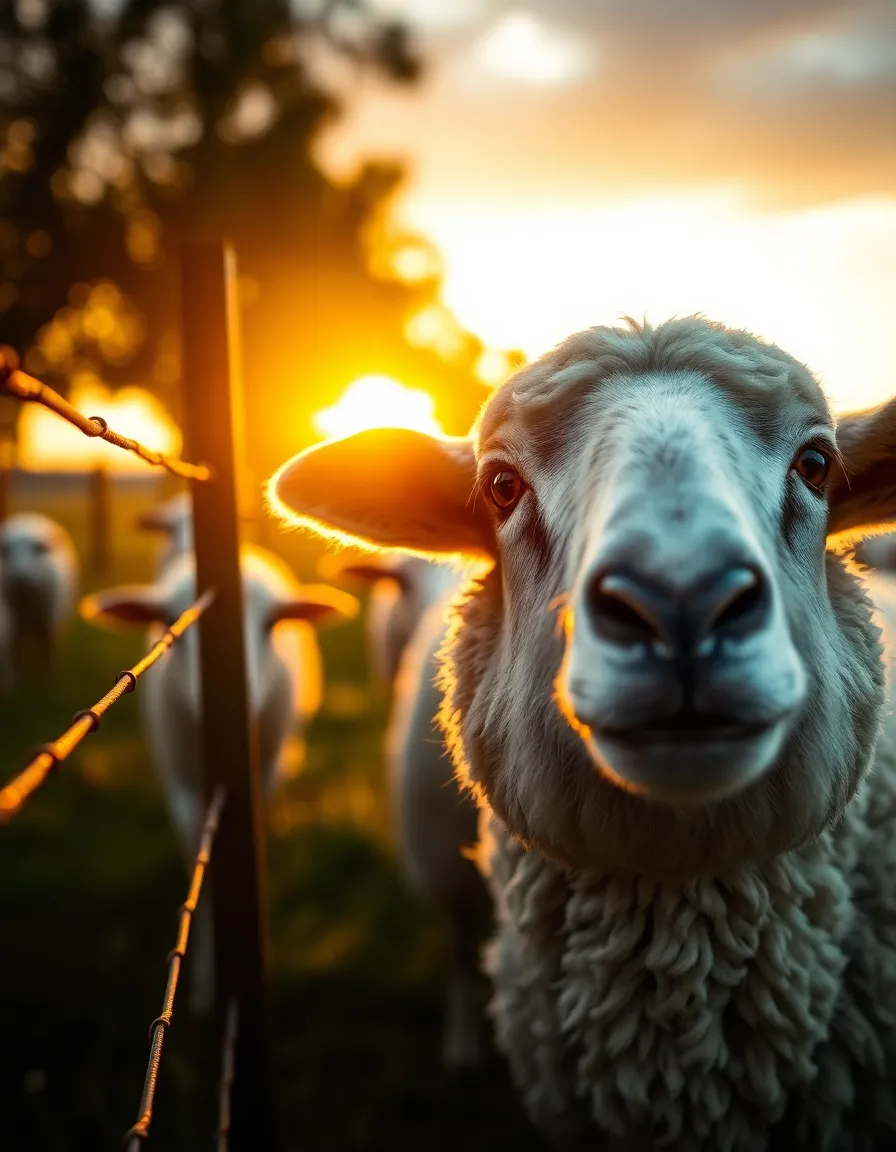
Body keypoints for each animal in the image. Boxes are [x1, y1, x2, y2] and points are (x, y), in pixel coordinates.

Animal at [0, 512, 78, 679]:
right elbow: (15, 659)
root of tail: (28, 516)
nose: (19, 575)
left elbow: (47, 654)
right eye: (5, 551)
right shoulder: (12, 632)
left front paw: (48, 678)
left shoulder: (49, 627)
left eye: (38, 549)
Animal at [80, 543, 358, 1012]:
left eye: (272, 624)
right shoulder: (181, 787)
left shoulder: (262, 774)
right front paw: (208, 980)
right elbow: (202, 876)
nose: (239, 700)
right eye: (168, 623)